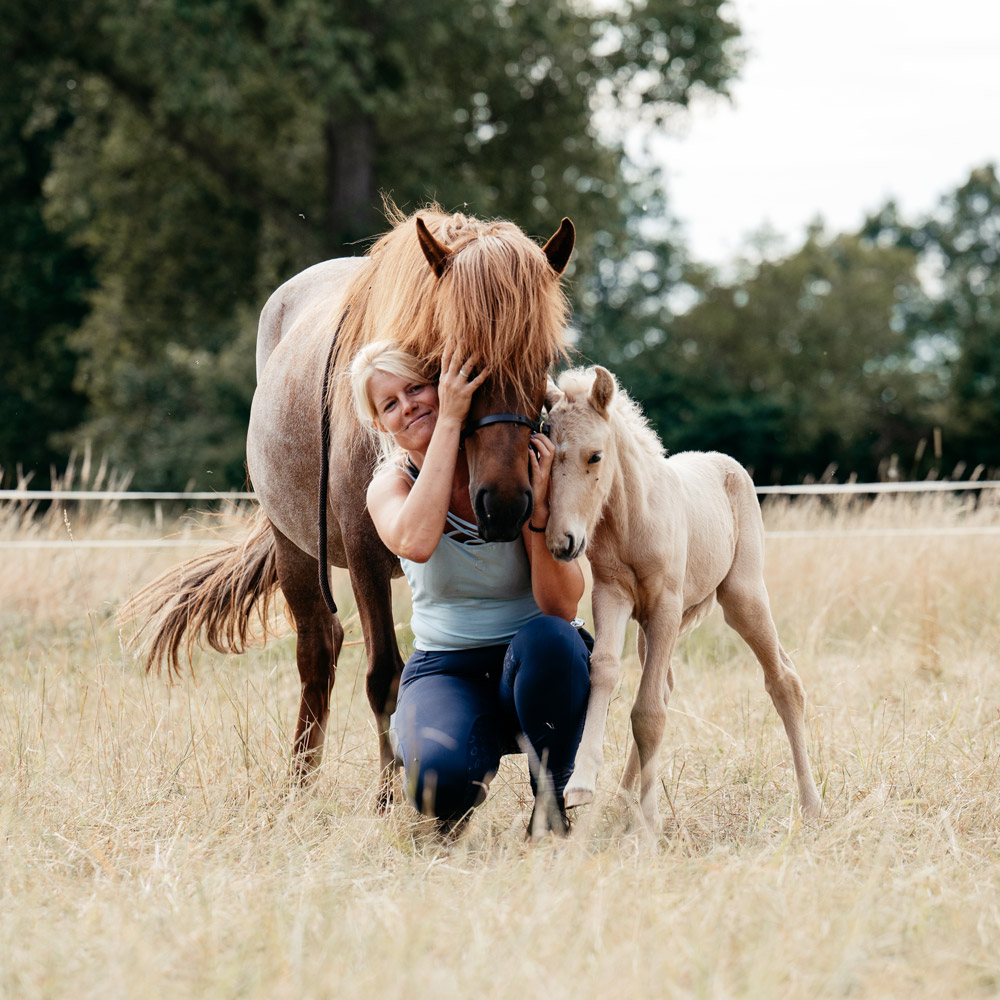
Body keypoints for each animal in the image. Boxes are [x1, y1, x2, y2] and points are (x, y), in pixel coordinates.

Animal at [121, 207, 576, 808]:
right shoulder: (363, 552)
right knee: (317, 651)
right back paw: (299, 781)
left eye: (543, 359)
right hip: (294, 548)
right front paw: (388, 796)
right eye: (452, 361)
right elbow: (384, 676)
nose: (502, 504)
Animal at [548, 366, 820, 828]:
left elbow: (648, 712)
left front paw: (651, 820)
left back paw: (811, 804)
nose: (562, 542)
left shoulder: (666, 605)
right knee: (665, 685)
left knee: (784, 680)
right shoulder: (612, 594)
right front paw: (582, 785)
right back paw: (622, 799)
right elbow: (605, 671)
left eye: (595, 456)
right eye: (545, 453)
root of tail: (725, 462)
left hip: (743, 596)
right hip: (648, 624)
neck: (633, 517)